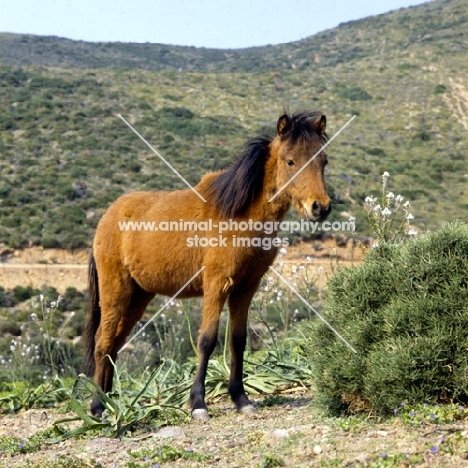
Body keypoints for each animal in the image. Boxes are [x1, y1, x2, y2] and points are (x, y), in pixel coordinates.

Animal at [85, 110, 332, 420]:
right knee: (103, 343)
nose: (320, 207)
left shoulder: (246, 288)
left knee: (114, 346)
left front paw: (241, 398)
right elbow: (207, 340)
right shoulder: (217, 284)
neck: (238, 215)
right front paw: (198, 404)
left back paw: (109, 402)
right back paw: (97, 406)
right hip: (115, 291)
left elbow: (237, 340)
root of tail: (108, 216)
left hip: (138, 297)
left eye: (324, 161)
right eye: (290, 161)